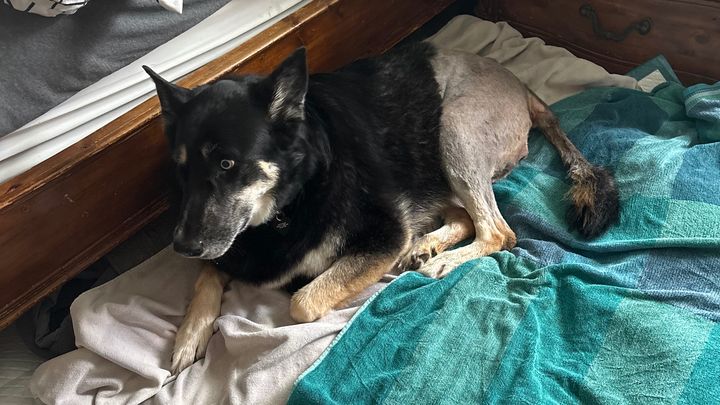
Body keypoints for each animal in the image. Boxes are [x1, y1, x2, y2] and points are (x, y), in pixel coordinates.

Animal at [143, 42, 619, 374]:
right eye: (180, 168)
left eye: (227, 164)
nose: (181, 246)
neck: (291, 198)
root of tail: (520, 86)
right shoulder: (230, 245)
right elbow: (209, 272)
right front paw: (188, 336)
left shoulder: (384, 233)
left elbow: (302, 301)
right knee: (465, 218)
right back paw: (428, 245)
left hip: (452, 130)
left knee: (498, 231)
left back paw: (441, 260)